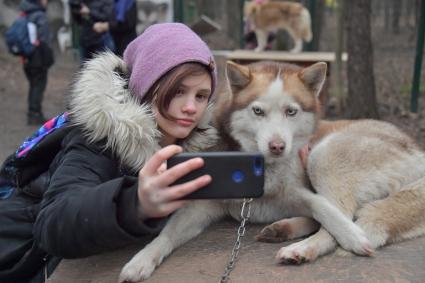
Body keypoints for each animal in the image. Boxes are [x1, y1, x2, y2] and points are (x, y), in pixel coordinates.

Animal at [117, 61, 372, 282]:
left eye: (291, 112)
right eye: (258, 111)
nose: (277, 146)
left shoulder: (293, 191)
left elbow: (321, 206)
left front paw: (351, 234)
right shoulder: (202, 205)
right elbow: (167, 234)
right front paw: (142, 259)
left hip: (320, 156)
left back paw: (300, 245)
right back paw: (282, 231)